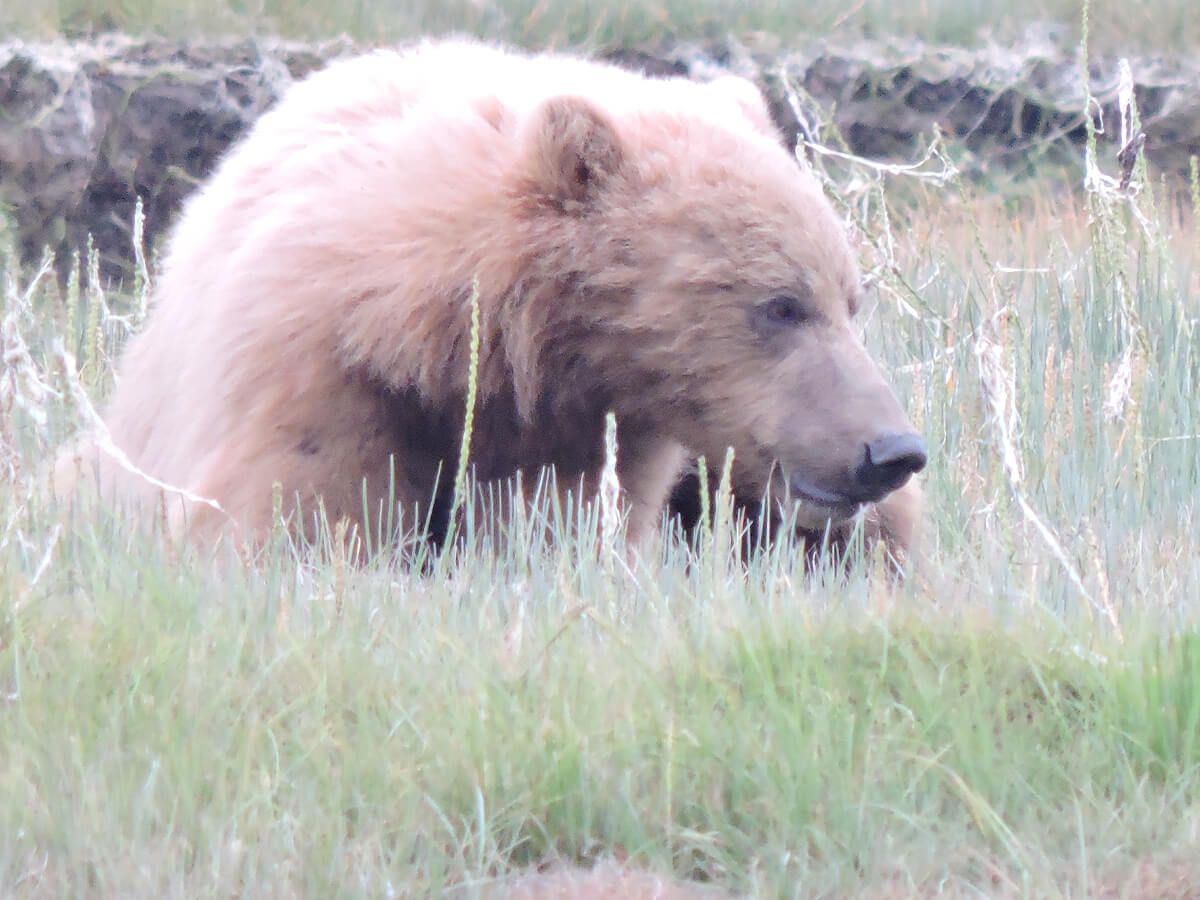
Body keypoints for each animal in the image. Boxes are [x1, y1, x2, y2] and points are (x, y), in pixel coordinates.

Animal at [63, 44, 926, 564]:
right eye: (780, 305)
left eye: (851, 298)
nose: (891, 449)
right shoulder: (315, 382)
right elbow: (292, 517)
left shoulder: (595, 433)